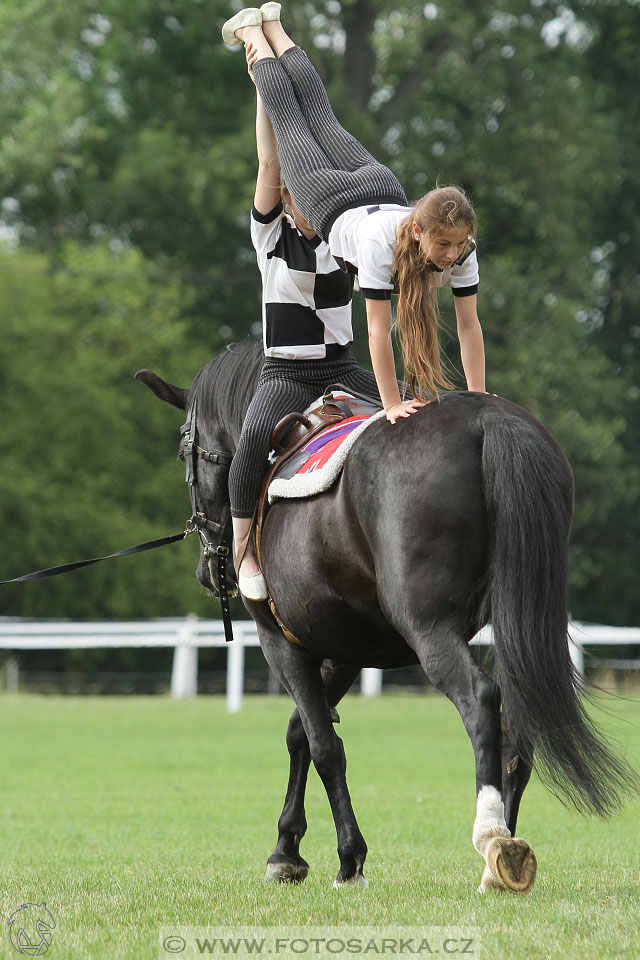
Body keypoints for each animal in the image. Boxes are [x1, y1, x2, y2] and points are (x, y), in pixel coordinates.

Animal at [135, 344, 636, 892]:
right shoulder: (344, 651)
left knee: (480, 700)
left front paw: (348, 859)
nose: (209, 569)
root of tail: (488, 418)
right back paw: (504, 853)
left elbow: (324, 745)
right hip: (515, 625)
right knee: (516, 728)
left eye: (185, 453)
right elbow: (300, 733)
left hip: (427, 627)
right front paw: (286, 850)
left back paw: (490, 834)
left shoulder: (281, 642)